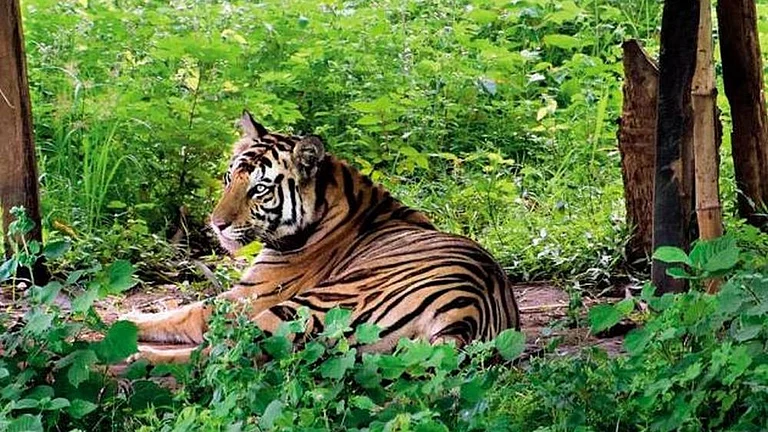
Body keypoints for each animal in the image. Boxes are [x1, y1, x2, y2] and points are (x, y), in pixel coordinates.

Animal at [123, 111, 520, 363]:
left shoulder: (243, 299)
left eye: (260, 189)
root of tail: (465, 310)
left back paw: (140, 356)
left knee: (221, 357)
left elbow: (179, 315)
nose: (216, 224)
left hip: (306, 308)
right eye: (229, 178)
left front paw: (122, 322)